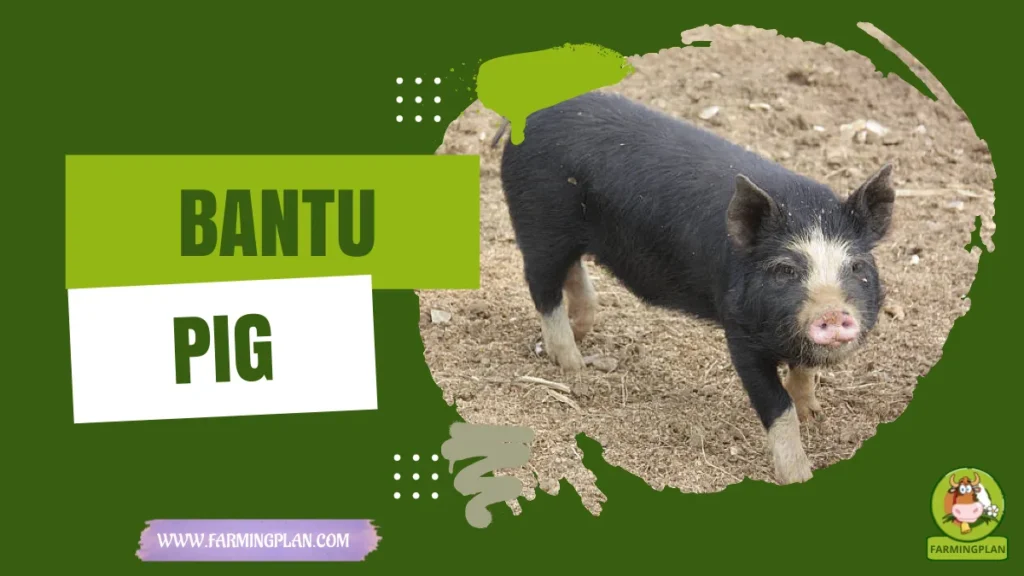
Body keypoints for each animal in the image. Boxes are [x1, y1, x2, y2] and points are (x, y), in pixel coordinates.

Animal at [494, 90, 895, 485]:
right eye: (785, 269)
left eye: (857, 266)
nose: (833, 312)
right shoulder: (739, 332)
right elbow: (776, 405)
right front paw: (799, 476)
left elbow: (803, 371)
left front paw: (813, 413)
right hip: (538, 224)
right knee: (543, 287)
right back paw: (575, 367)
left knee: (573, 271)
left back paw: (582, 334)